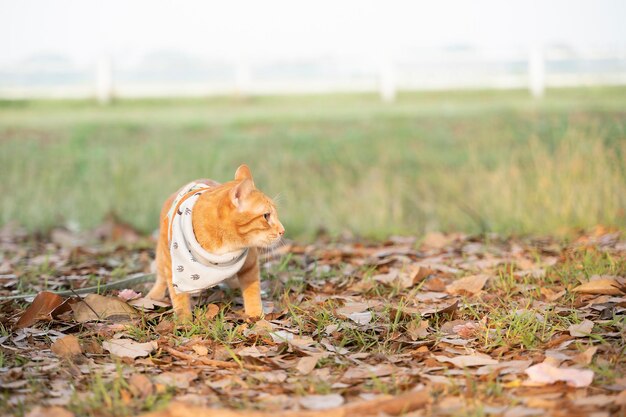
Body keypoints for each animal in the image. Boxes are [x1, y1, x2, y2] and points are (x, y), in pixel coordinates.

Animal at [146, 163, 282, 318]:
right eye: (266, 216)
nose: (283, 230)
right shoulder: (172, 265)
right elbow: (178, 296)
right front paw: (184, 319)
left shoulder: (250, 263)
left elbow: (252, 291)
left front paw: (256, 316)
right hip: (162, 253)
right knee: (161, 277)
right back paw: (154, 295)